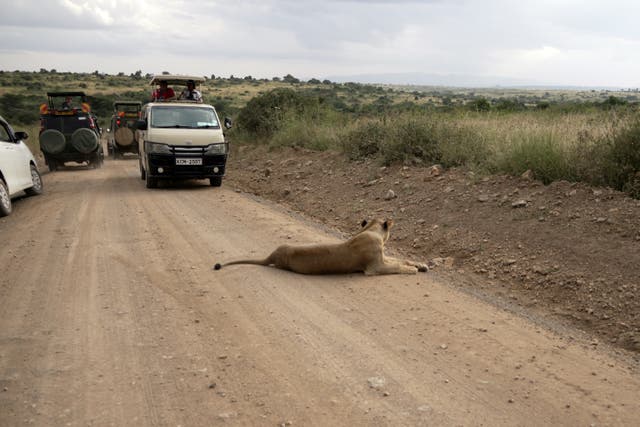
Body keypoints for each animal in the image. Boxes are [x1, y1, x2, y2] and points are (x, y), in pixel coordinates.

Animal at [213, 218, 428, 275]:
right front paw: (412, 270)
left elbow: (401, 259)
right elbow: (397, 266)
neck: (371, 230)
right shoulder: (374, 268)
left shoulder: (382, 257)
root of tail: (272, 255)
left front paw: (421, 265)